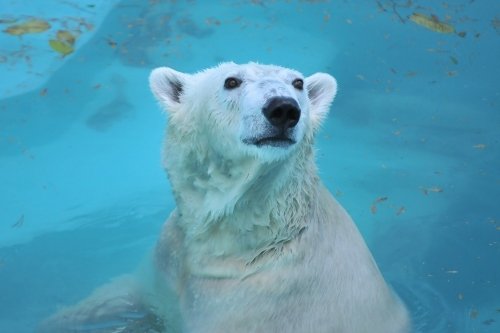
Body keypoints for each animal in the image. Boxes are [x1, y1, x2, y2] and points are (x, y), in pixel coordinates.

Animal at [40, 63, 410, 332]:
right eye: (231, 81)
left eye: (298, 84)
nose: (283, 109)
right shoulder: (169, 261)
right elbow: (126, 292)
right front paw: (55, 317)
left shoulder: (246, 303)